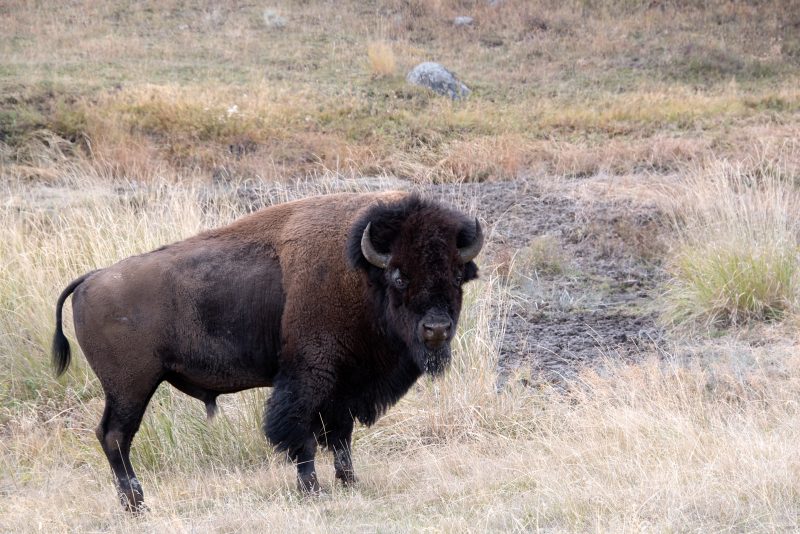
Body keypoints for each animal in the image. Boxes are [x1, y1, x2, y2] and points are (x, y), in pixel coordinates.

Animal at [53, 191, 484, 512]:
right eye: (399, 275)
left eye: (456, 274)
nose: (436, 329)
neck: (359, 272)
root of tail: (90, 279)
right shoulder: (307, 377)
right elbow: (300, 435)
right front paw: (311, 490)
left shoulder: (345, 385)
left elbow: (340, 437)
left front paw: (349, 483)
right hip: (130, 387)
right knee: (115, 436)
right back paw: (136, 504)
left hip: (128, 388)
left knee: (113, 437)